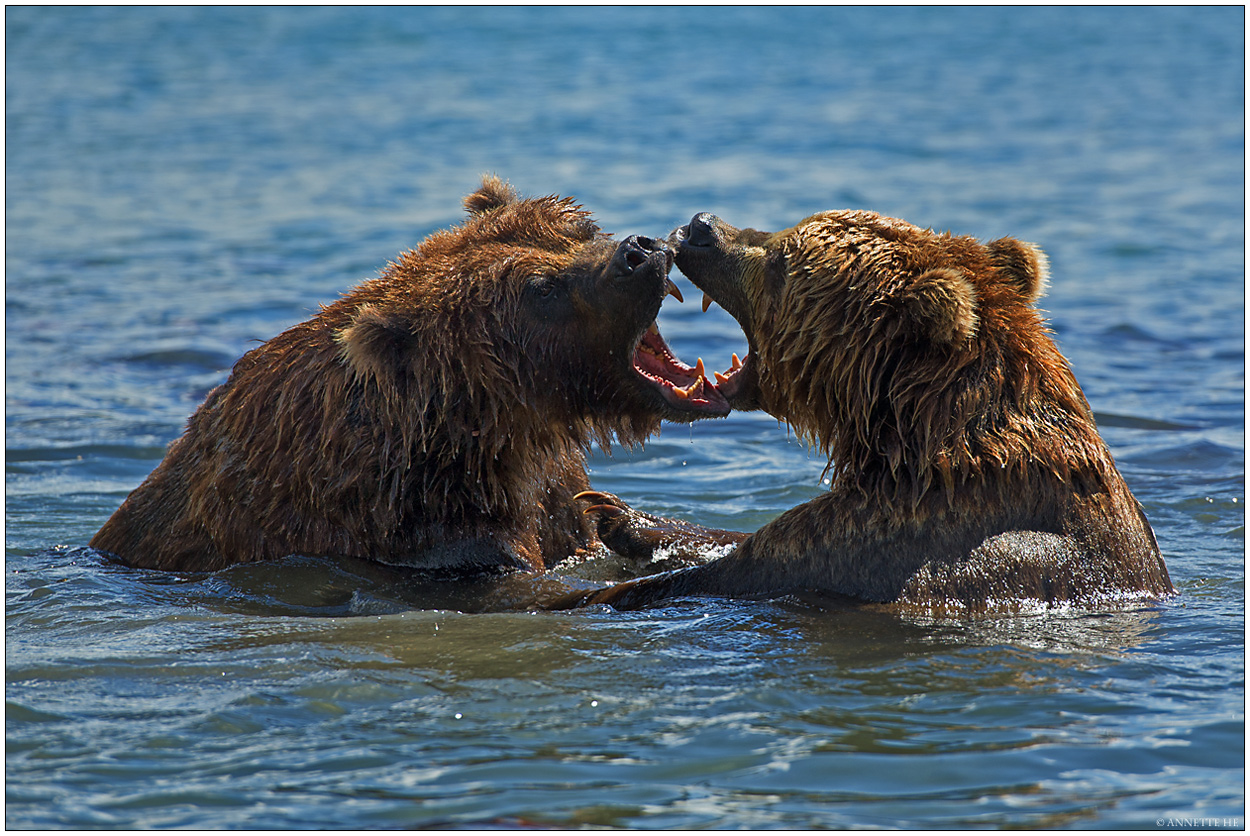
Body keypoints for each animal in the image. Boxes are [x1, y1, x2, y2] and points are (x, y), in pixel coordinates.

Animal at [90, 177, 730, 577]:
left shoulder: (547, 496)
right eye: (541, 288)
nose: (640, 251)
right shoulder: (435, 535)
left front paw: (624, 515)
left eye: (575, 226)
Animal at [572, 208, 1175, 612]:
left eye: (781, 262)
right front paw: (615, 512)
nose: (701, 225)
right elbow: (743, 539)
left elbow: (743, 567)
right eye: (785, 232)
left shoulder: (894, 540)